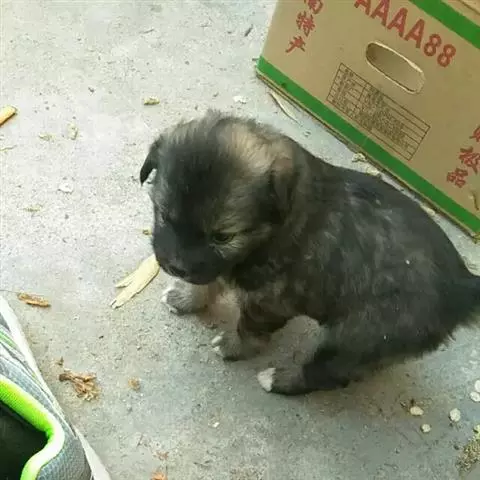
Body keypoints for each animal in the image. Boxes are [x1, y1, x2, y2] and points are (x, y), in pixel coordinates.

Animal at [139, 110, 480, 395]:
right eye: (165, 215)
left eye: (223, 236)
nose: (176, 267)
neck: (273, 228)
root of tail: (460, 286)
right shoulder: (221, 267)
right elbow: (208, 281)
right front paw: (185, 298)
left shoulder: (269, 302)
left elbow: (249, 329)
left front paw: (233, 347)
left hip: (355, 337)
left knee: (326, 373)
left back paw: (279, 379)